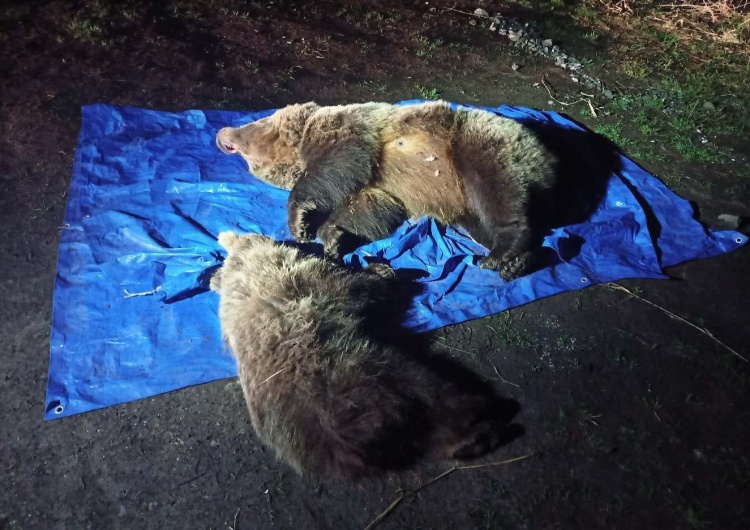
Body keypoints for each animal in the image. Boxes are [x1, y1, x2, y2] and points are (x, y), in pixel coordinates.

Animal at [209, 231, 520, 478]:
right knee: (437, 398)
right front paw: (380, 272)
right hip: (377, 376)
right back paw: (478, 420)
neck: (246, 263)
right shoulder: (306, 279)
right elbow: (356, 285)